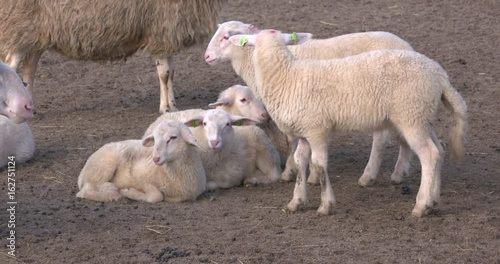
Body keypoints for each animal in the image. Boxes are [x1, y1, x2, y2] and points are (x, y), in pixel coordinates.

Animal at [0, 0, 227, 112]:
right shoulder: (160, 30)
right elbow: (164, 74)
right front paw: (165, 109)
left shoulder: (166, 35)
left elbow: (171, 72)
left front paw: (173, 105)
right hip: (19, 25)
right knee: (12, 66)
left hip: (37, 35)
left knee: (29, 71)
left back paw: (31, 106)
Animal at [74, 119, 207, 202]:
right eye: (154, 139)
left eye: (173, 137)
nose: (155, 159)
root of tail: (81, 176)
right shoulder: (139, 175)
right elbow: (156, 196)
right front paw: (128, 192)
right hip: (104, 165)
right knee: (86, 191)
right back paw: (113, 193)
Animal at [205, 20, 416, 187]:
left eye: (226, 37)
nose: (206, 56)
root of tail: (408, 47)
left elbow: (293, 141)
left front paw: (295, 173)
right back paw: (398, 174)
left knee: (381, 139)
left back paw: (368, 176)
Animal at [229, 29, 466, 218]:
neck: (286, 76)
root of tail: (440, 76)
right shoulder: (305, 131)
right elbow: (300, 161)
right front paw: (296, 201)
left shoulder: (317, 129)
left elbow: (319, 164)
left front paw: (326, 205)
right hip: (421, 116)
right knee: (439, 150)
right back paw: (434, 199)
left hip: (411, 115)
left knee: (429, 154)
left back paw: (421, 205)